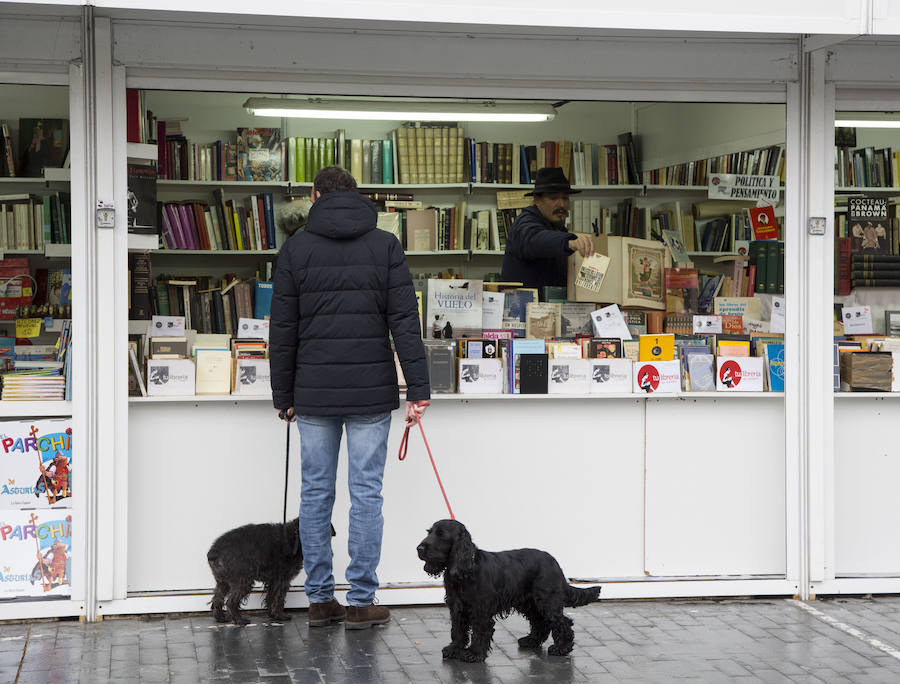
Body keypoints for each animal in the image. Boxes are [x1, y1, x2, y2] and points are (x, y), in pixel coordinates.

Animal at [206, 520, 336, 624]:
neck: (293, 538)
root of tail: (214, 552)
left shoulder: (273, 580)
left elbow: (271, 596)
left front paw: (272, 615)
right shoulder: (282, 580)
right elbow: (279, 598)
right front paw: (280, 616)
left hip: (223, 582)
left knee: (217, 598)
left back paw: (221, 618)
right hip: (242, 581)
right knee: (231, 602)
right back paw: (239, 620)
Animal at [418, 520, 600, 664]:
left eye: (441, 534)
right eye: (429, 532)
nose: (418, 548)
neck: (464, 570)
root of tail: (554, 562)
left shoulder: (480, 611)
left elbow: (479, 632)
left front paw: (474, 654)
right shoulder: (457, 608)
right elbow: (457, 631)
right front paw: (453, 650)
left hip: (546, 599)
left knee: (563, 622)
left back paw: (562, 648)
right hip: (529, 602)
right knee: (540, 622)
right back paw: (531, 641)